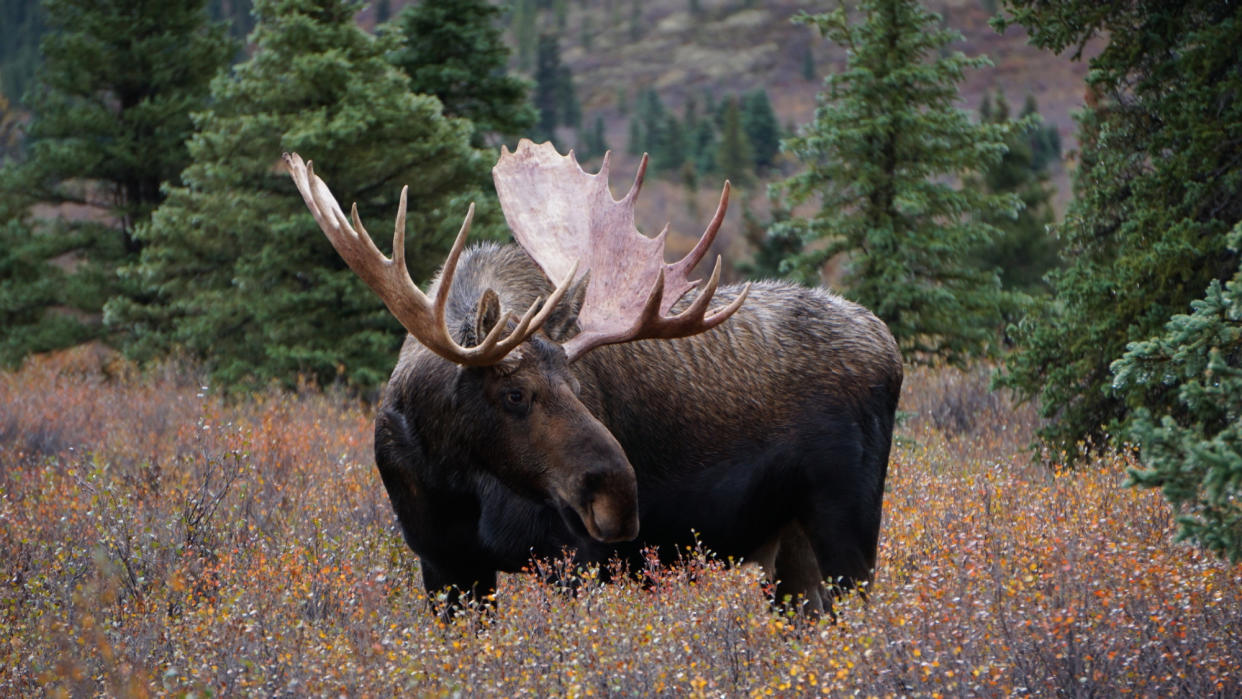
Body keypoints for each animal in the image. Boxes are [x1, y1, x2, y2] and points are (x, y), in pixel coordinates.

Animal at [283, 143, 904, 618]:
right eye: (515, 394)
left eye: (579, 388)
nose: (620, 499)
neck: (455, 477)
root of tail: (889, 344)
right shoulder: (444, 565)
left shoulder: (569, 560)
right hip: (788, 547)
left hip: (848, 528)